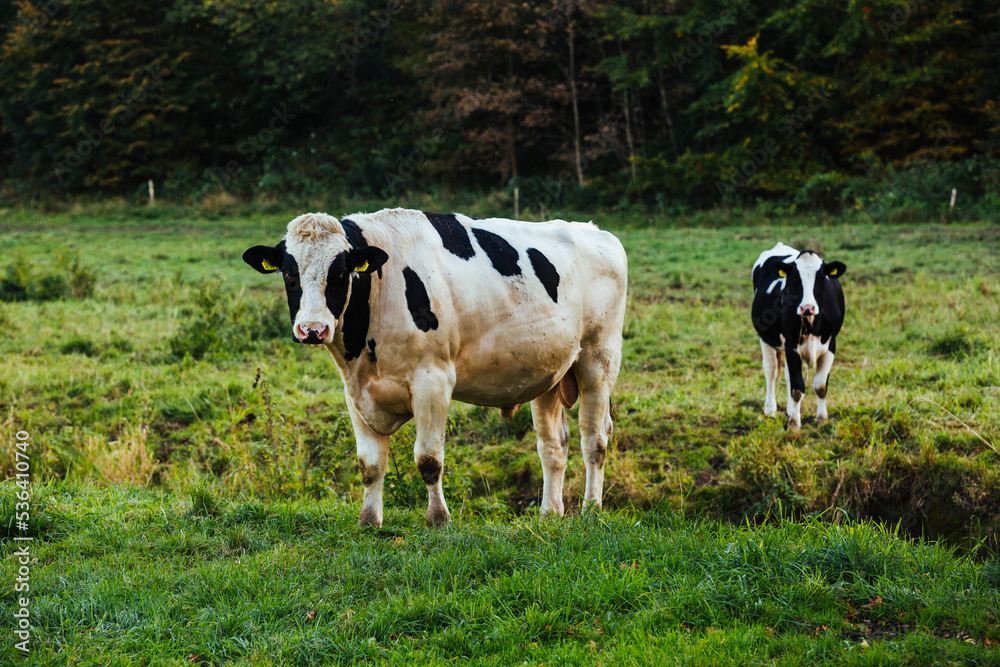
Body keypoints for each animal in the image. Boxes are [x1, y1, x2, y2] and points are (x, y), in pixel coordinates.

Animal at [241, 209, 624, 528]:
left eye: (340, 273)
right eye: (289, 273)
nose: (312, 329)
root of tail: (595, 231)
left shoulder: (433, 381)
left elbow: (428, 459)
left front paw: (438, 519)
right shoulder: (355, 392)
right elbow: (369, 464)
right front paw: (369, 520)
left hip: (598, 359)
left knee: (595, 440)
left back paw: (591, 510)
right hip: (548, 374)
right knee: (552, 447)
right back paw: (548, 513)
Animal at [752, 243, 848, 430]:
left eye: (821, 278)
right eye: (795, 279)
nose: (807, 307)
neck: (811, 324)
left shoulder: (831, 344)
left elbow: (820, 385)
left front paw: (821, 418)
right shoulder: (791, 346)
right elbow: (797, 388)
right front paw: (794, 425)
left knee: (787, 376)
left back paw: (790, 410)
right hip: (765, 338)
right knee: (771, 370)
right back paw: (770, 409)